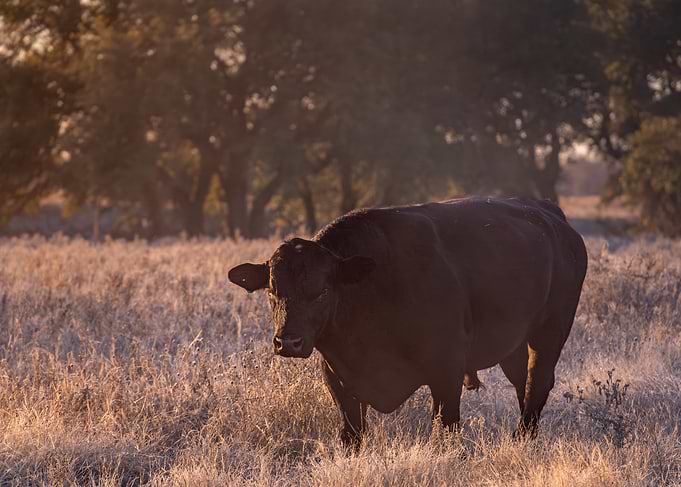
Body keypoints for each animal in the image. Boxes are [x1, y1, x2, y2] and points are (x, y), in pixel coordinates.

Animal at [228, 197, 588, 447]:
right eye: (272, 290)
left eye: (322, 290)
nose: (287, 342)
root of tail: (552, 217)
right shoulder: (337, 378)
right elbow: (352, 434)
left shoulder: (447, 371)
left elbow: (446, 428)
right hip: (513, 344)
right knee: (522, 383)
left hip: (549, 332)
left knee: (537, 381)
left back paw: (523, 437)